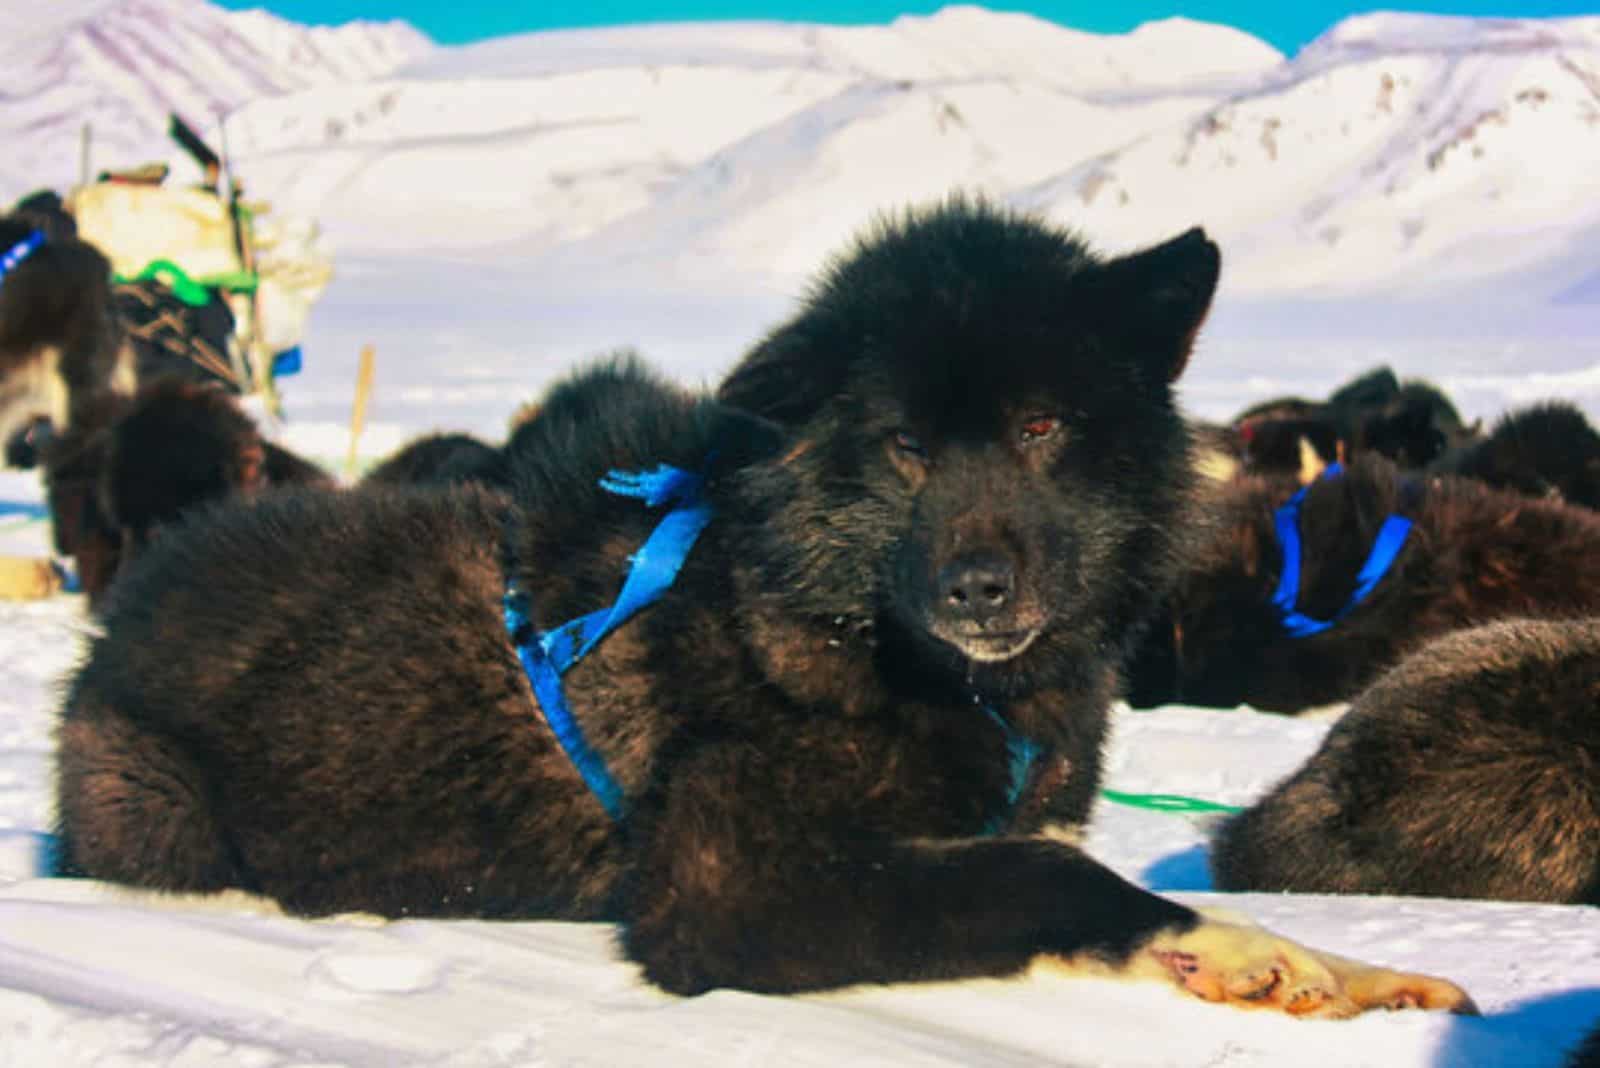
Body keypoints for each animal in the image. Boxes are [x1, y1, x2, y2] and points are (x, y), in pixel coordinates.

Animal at [56, 198, 1465, 1016]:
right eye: (903, 446)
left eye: (1039, 426)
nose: (976, 587)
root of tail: (128, 612)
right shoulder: (727, 882)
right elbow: (1048, 878)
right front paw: (1259, 953)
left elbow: (1050, 863)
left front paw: (1327, 965)